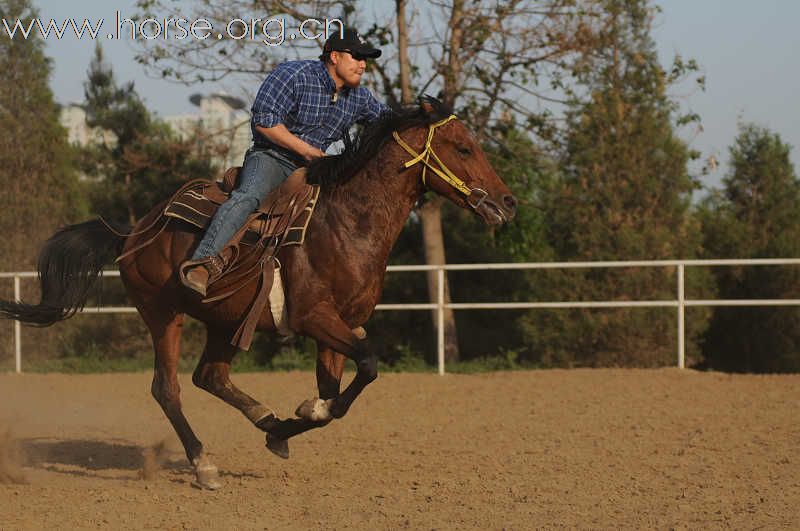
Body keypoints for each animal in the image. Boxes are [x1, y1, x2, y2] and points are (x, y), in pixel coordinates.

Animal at [0, 96, 520, 490]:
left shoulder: (341, 324)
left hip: (225, 321)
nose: (508, 202)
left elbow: (334, 396)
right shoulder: (315, 318)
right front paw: (299, 416)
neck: (347, 222)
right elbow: (367, 366)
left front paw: (292, 422)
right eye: (463, 147)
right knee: (167, 388)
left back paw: (267, 424)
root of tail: (133, 233)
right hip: (162, 313)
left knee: (210, 377)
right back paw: (204, 464)